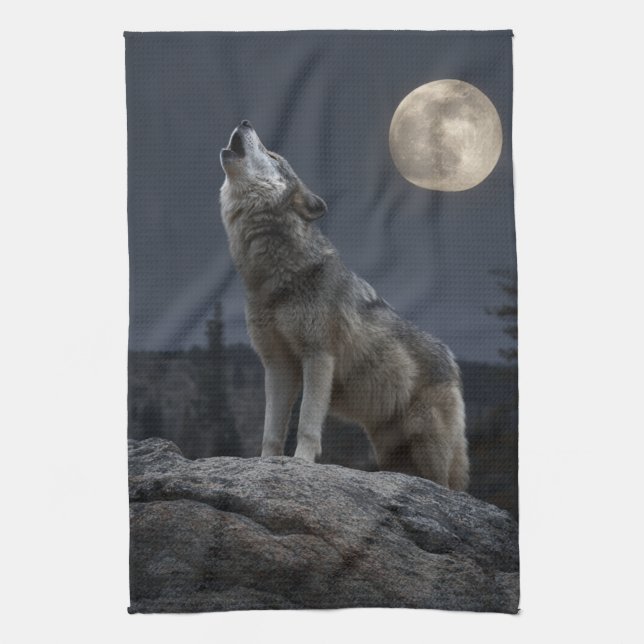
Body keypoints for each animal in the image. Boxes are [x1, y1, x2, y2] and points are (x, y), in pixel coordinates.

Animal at [219, 120, 469, 490]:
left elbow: (307, 423)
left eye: (273, 155)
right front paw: (265, 466)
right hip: (389, 449)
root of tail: (452, 361)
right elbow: (271, 430)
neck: (273, 278)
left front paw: (301, 464)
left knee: (447, 486)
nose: (246, 122)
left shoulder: (318, 356)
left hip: (427, 440)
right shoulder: (277, 365)